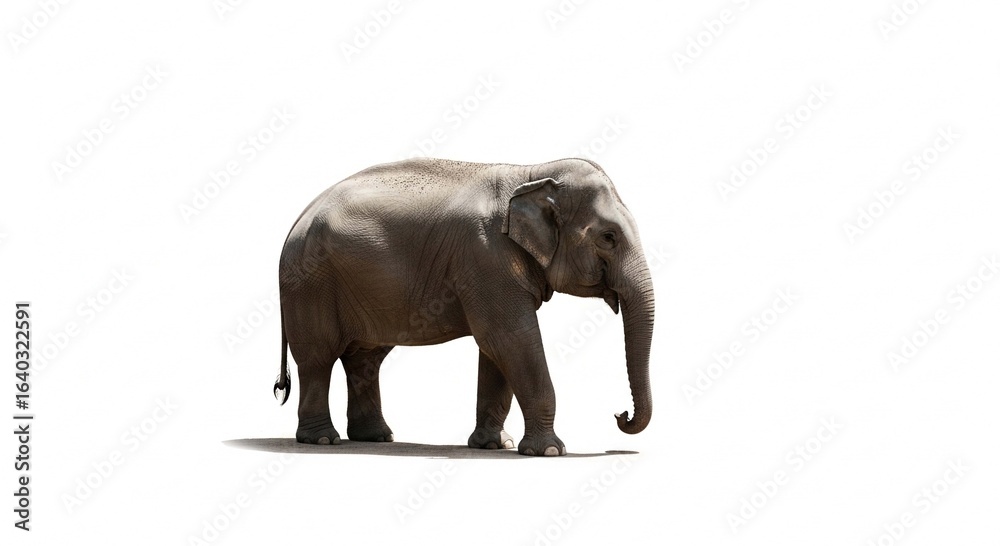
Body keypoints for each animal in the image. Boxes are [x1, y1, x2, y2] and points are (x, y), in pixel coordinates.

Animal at [272, 157, 654, 456]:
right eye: (609, 237)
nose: (619, 416)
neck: (532, 172)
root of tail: (298, 219)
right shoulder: (487, 259)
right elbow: (510, 338)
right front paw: (548, 451)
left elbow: (497, 349)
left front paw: (494, 444)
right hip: (309, 284)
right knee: (318, 357)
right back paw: (323, 440)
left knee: (365, 359)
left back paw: (376, 438)